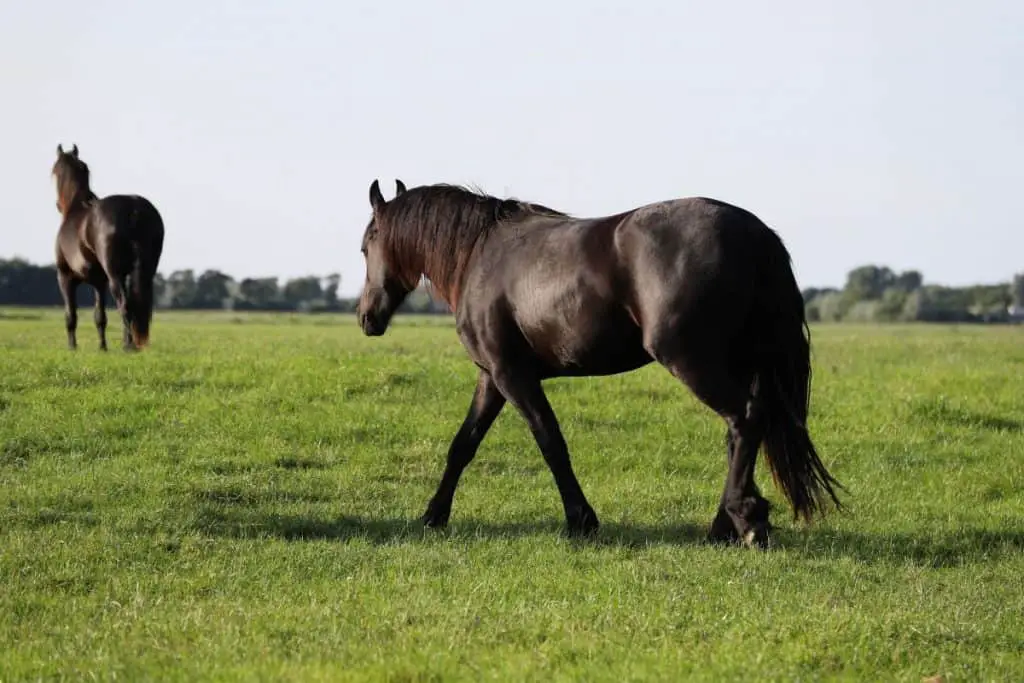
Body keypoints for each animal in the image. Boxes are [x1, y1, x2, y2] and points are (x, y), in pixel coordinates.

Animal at [51, 141, 163, 350]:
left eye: (54, 171)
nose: (58, 205)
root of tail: (133, 208)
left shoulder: (65, 277)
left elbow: (71, 316)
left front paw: (72, 347)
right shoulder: (99, 282)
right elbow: (100, 317)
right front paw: (102, 347)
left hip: (114, 274)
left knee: (125, 305)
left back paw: (129, 346)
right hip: (144, 272)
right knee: (137, 305)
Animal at [356, 179, 843, 548]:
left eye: (366, 246)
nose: (366, 317)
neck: (479, 254)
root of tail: (755, 233)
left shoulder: (513, 375)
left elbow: (550, 441)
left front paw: (581, 519)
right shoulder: (491, 378)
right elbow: (464, 444)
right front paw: (433, 515)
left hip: (691, 360)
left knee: (744, 419)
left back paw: (744, 518)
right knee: (741, 430)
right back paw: (725, 524)